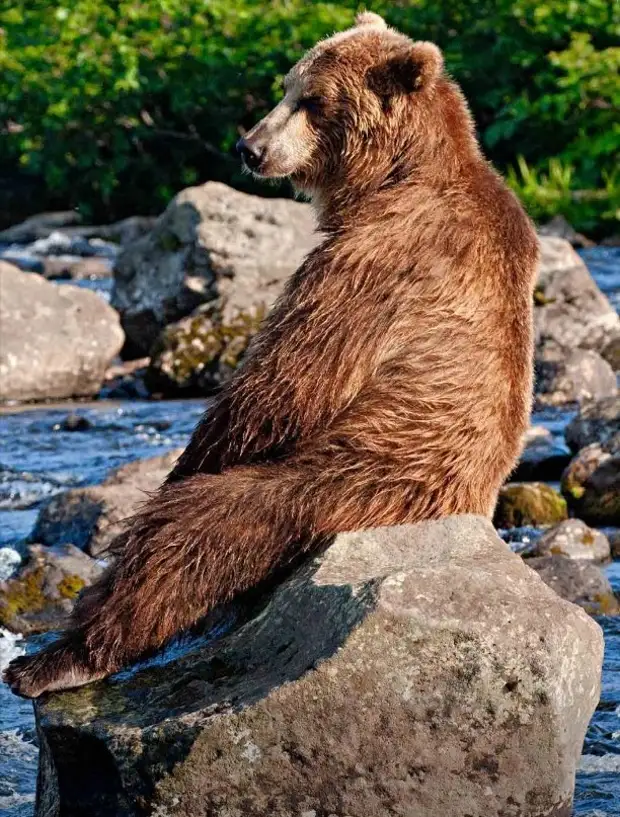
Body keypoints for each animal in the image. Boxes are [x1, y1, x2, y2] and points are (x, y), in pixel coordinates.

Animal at [3, 11, 536, 696]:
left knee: (196, 533)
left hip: (353, 483)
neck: (393, 176)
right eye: (287, 86)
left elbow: (282, 388)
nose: (248, 148)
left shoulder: (379, 262)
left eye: (313, 99)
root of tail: (467, 511)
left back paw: (59, 658)